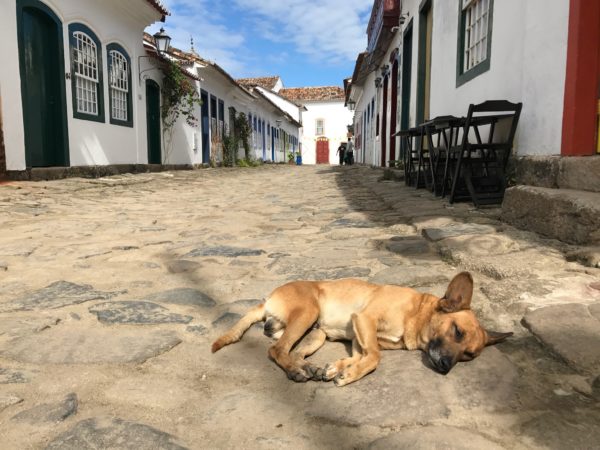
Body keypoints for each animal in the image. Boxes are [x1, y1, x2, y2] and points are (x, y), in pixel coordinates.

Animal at [211, 272, 510, 384]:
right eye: (457, 331)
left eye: (469, 355)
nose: (447, 367)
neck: (417, 313)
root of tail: (267, 300)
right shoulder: (364, 319)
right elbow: (375, 357)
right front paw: (350, 374)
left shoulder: (358, 335)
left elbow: (362, 355)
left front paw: (339, 367)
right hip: (307, 314)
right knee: (276, 349)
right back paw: (296, 371)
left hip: (315, 333)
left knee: (291, 351)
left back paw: (307, 367)